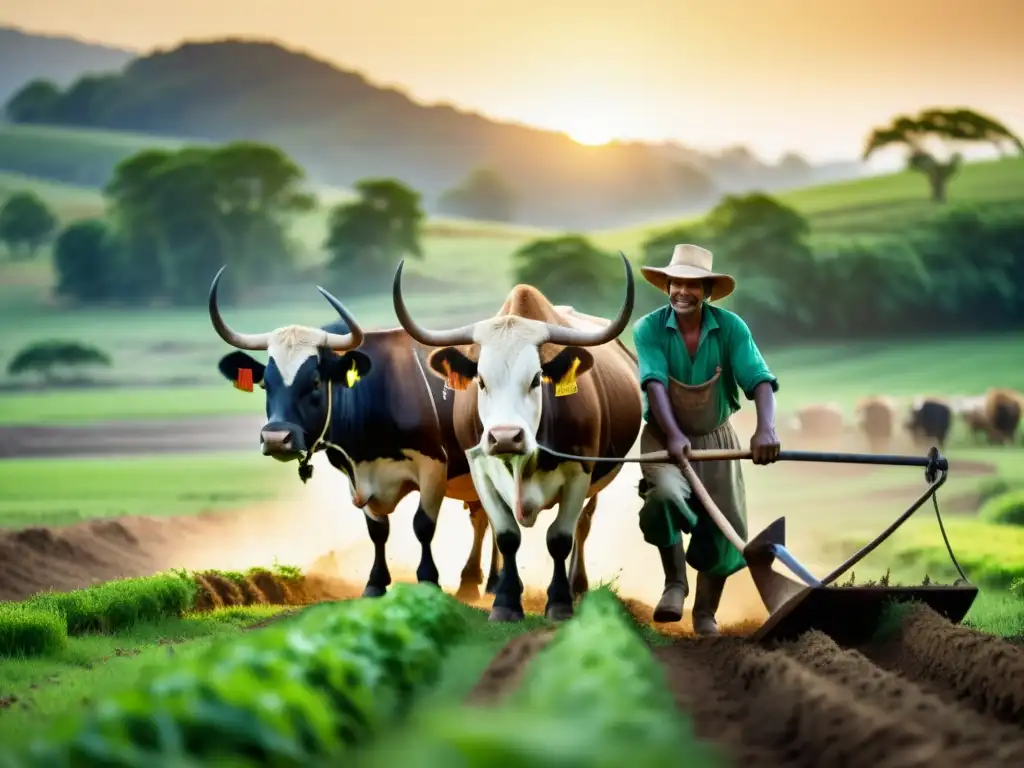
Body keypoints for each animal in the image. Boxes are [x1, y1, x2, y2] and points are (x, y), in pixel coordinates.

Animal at [205, 268, 497, 602]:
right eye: (266, 383)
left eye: (315, 381)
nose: (277, 438)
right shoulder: (357, 475)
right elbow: (377, 531)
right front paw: (375, 583)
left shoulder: (433, 465)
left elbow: (422, 525)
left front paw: (428, 580)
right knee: (483, 517)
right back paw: (475, 582)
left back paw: (483, 582)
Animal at [391, 252, 638, 626]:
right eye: (480, 380)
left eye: (536, 379)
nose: (505, 437)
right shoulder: (481, 471)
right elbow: (507, 535)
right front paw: (506, 601)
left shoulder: (580, 473)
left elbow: (560, 538)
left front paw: (560, 602)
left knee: (582, 526)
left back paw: (577, 586)